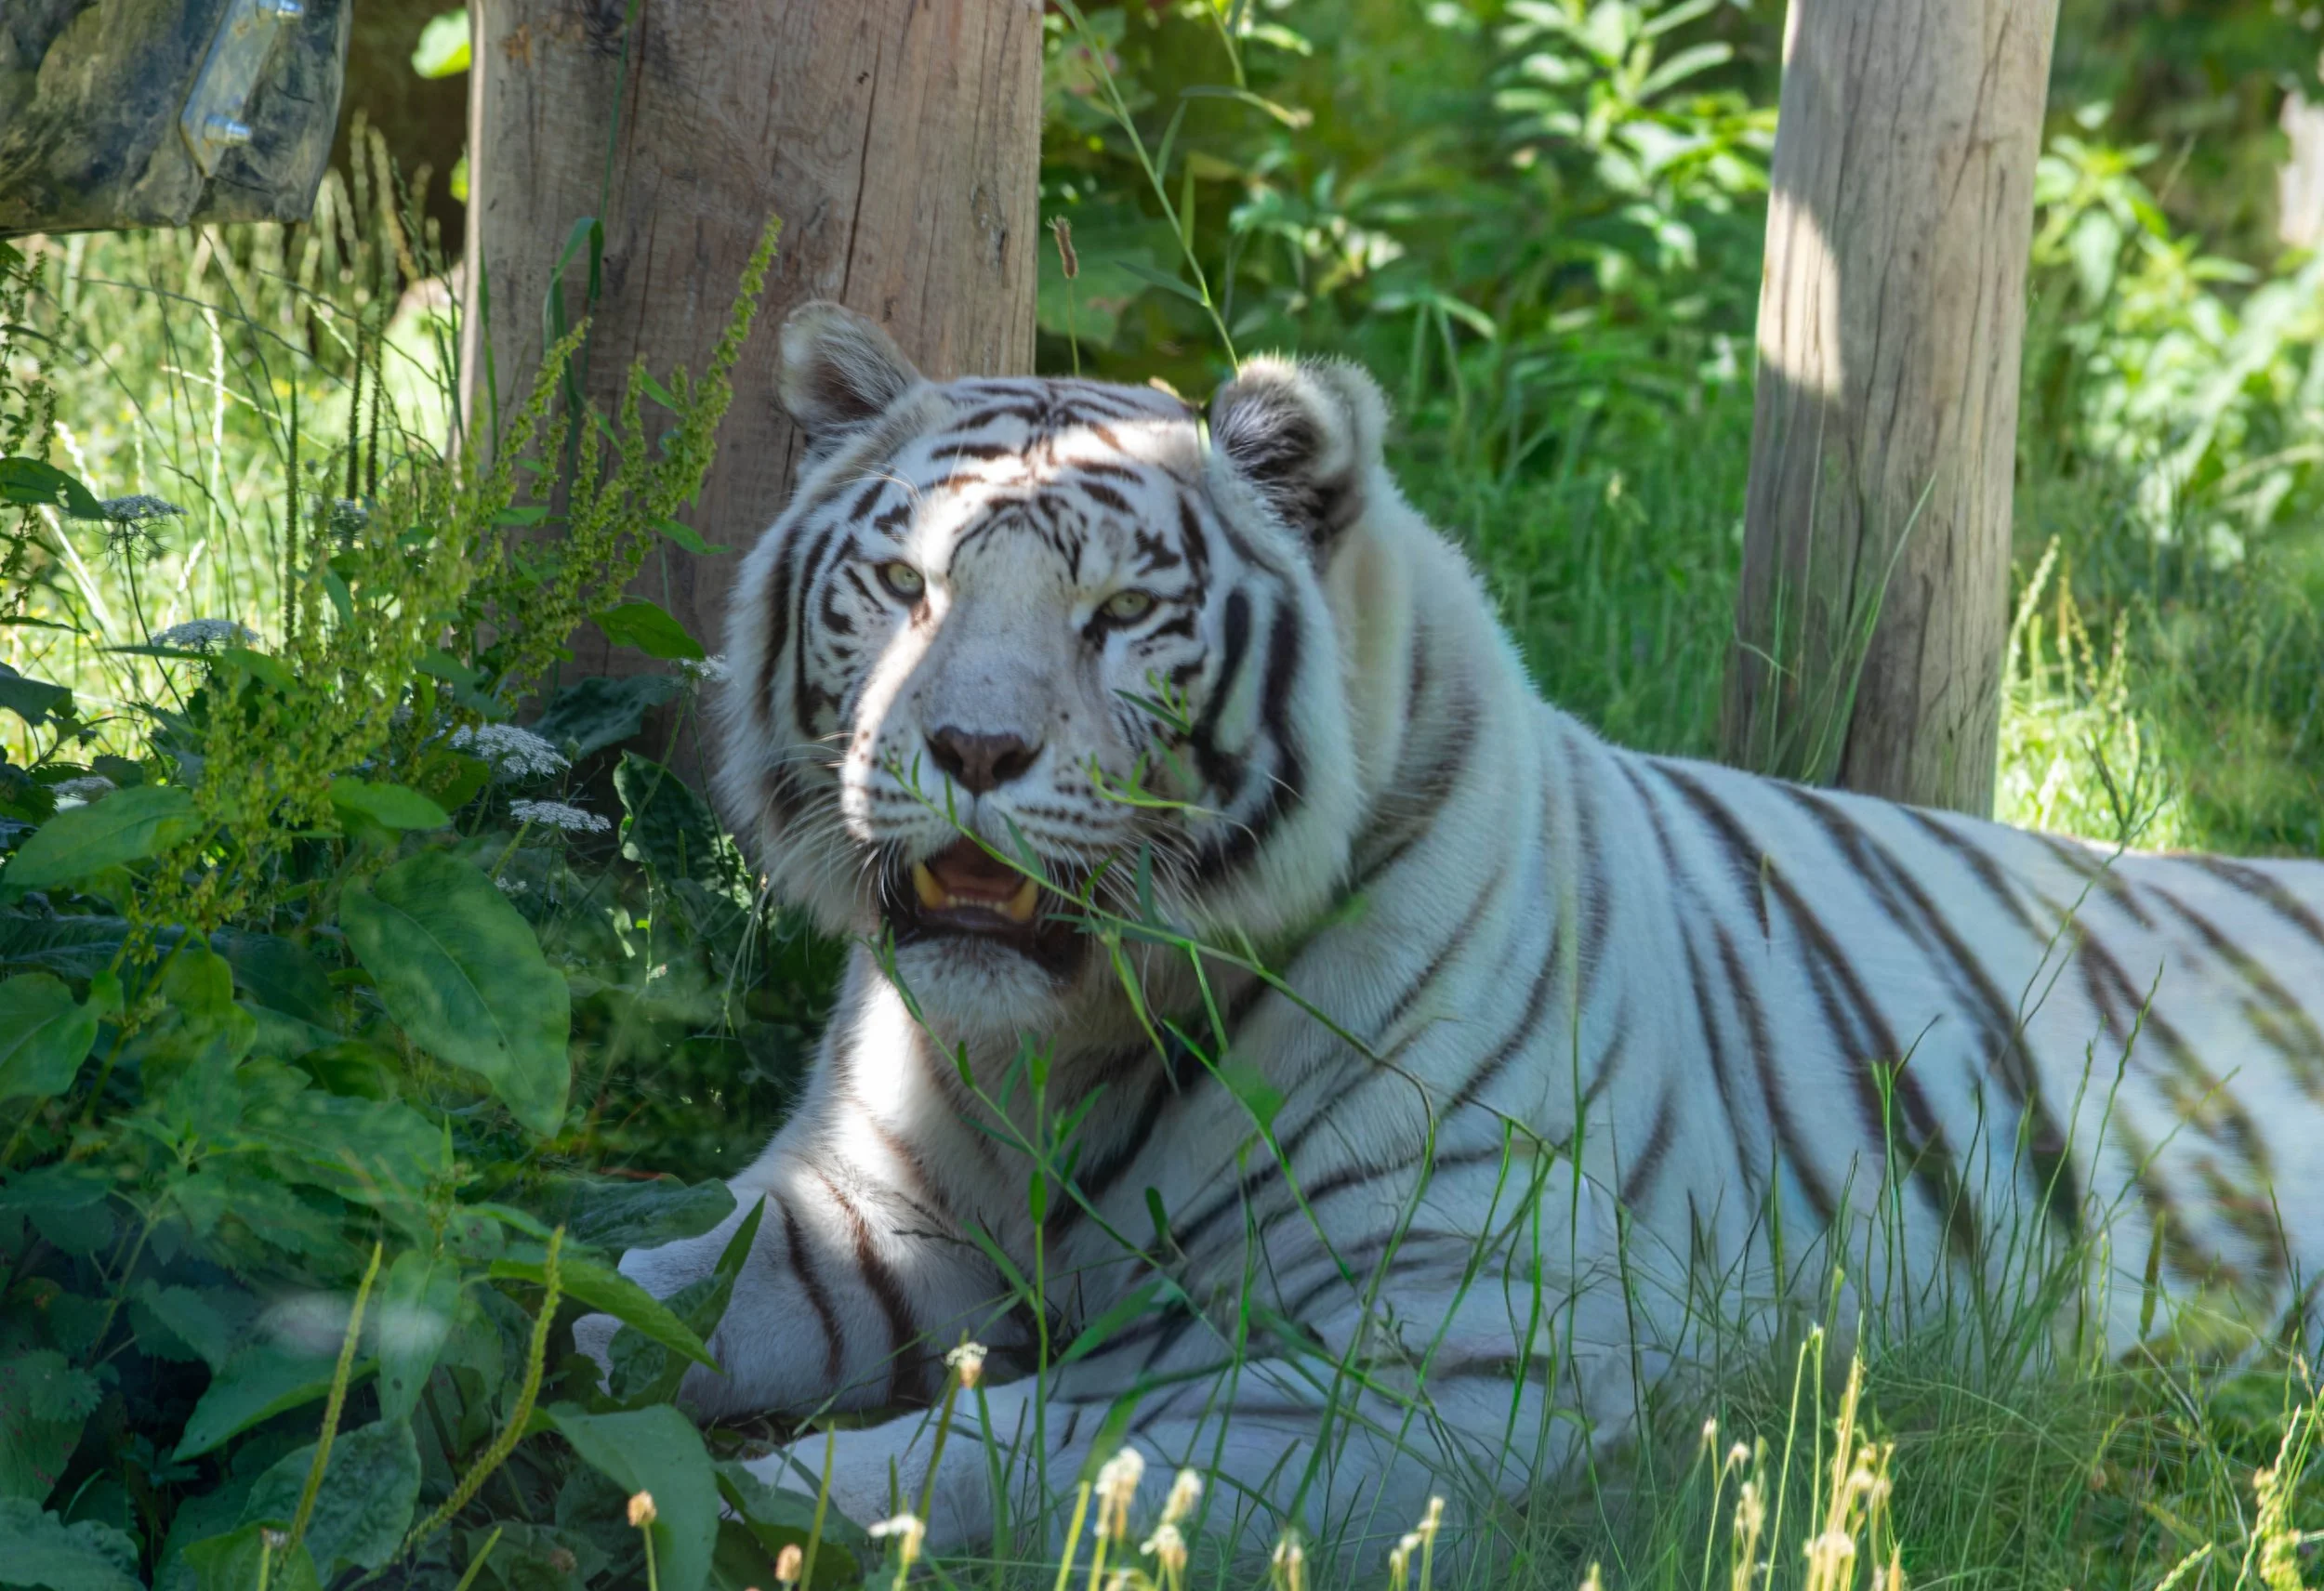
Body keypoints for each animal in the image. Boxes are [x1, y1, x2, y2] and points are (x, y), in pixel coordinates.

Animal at [580, 299, 2324, 1565]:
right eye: (903, 585)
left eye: (1119, 616)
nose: (972, 748)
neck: (1055, 1049)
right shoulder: (864, 1211)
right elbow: (622, 1288)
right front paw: (539, 1386)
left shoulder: (1449, 1357)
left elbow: (1029, 1453)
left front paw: (711, 1501)